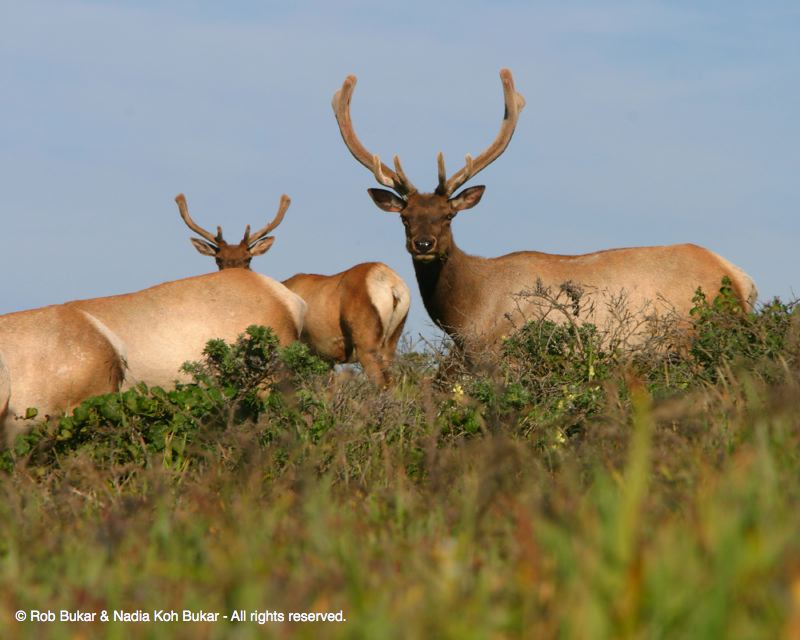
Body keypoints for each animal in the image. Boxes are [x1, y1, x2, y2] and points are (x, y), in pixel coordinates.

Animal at [176, 193, 411, 386]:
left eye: (248, 258)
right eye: (219, 259)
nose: (232, 278)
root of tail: (392, 284)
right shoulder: (326, 356)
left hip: (366, 339)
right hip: (392, 339)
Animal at [332, 68, 758, 360]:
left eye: (449, 216)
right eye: (405, 217)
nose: (424, 243)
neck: (468, 317)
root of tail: (740, 280)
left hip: (690, 335)